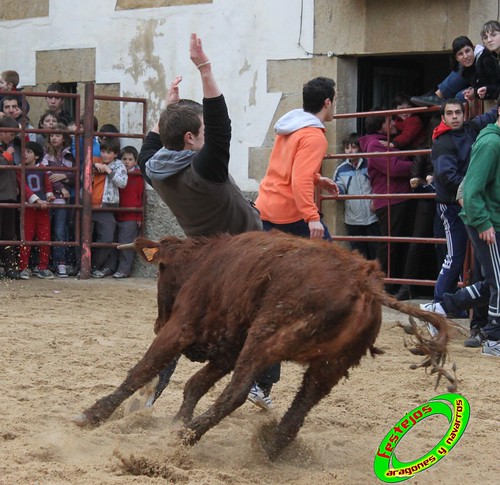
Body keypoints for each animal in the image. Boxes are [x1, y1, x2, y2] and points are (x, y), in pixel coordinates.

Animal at [74, 230, 454, 458]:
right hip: (329, 365)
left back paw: (186, 438)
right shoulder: (227, 349)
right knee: (298, 410)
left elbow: (141, 371)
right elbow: (195, 385)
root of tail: (364, 280)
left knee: (237, 393)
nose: (157, 323)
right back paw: (268, 449)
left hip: (266, 338)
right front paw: (177, 420)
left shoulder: (181, 329)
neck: (203, 263)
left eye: (162, 271)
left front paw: (93, 415)